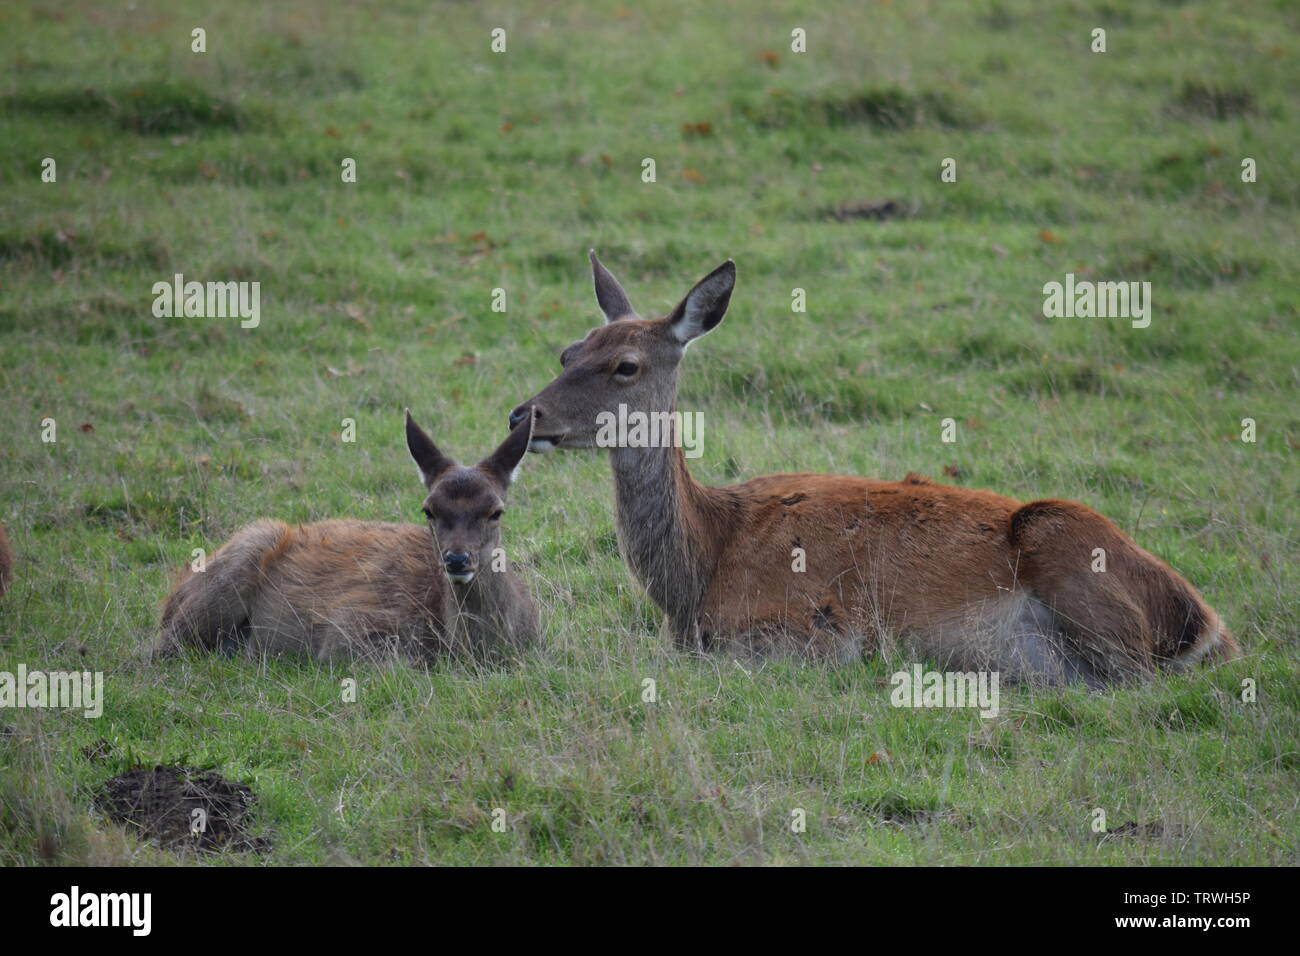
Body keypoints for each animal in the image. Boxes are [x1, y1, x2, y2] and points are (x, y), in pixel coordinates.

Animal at [506, 254, 1237, 686]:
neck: (697, 575)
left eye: (625, 365)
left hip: (1072, 557)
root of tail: (1204, 626)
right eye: (569, 350)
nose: (522, 416)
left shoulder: (813, 630)